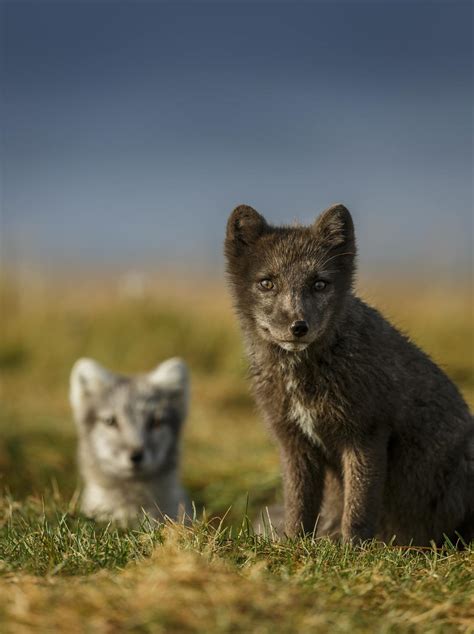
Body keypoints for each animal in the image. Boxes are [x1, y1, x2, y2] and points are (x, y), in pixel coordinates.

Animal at [224, 201, 472, 544]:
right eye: (267, 283)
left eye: (319, 284)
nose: (298, 327)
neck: (302, 381)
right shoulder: (294, 441)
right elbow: (298, 506)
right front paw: (293, 545)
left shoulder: (366, 434)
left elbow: (358, 508)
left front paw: (353, 549)